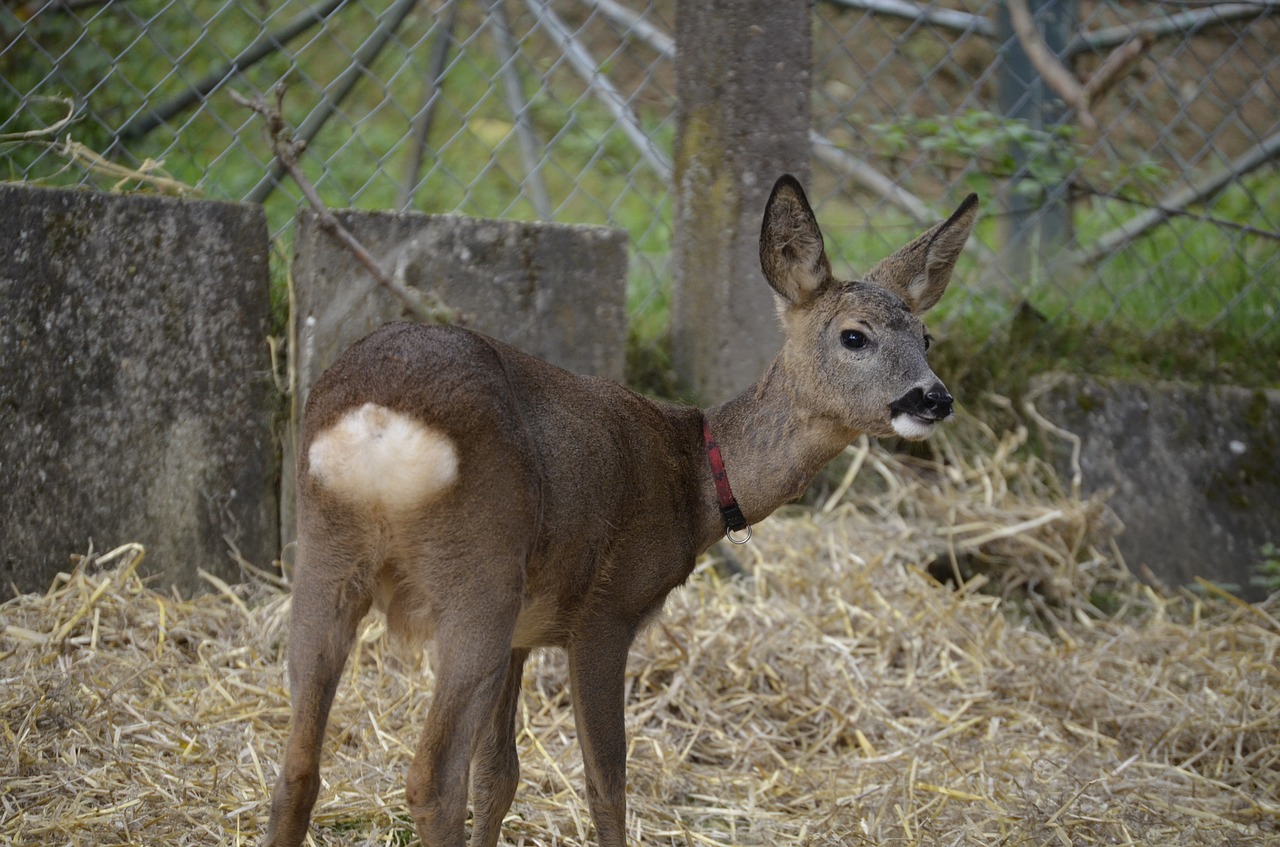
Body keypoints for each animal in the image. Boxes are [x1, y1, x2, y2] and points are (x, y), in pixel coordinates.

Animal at [264, 175, 972, 844]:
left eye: (927, 335)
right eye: (855, 336)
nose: (934, 399)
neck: (695, 478)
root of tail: (378, 422)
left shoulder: (523, 634)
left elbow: (499, 774)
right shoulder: (606, 612)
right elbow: (606, 780)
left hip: (327, 560)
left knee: (298, 766)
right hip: (477, 578)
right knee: (431, 779)